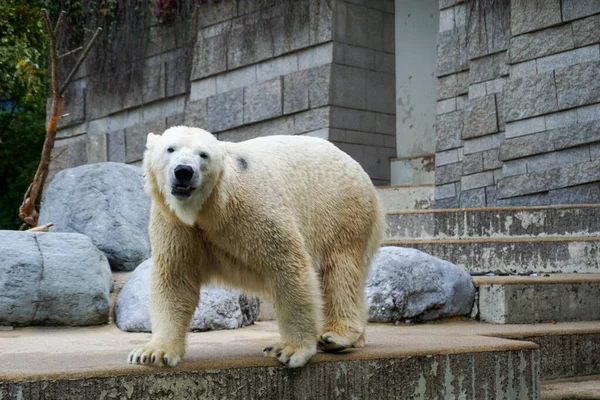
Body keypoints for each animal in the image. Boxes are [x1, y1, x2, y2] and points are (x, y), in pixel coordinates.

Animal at [126, 126, 384, 368]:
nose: (183, 171)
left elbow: (287, 262)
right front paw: (152, 353)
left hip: (339, 209)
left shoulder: (251, 208)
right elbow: (175, 278)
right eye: (170, 149)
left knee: (339, 270)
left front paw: (289, 350)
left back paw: (336, 336)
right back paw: (356, 337)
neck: (211, 206)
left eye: (203, 155)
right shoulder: (173, 222)